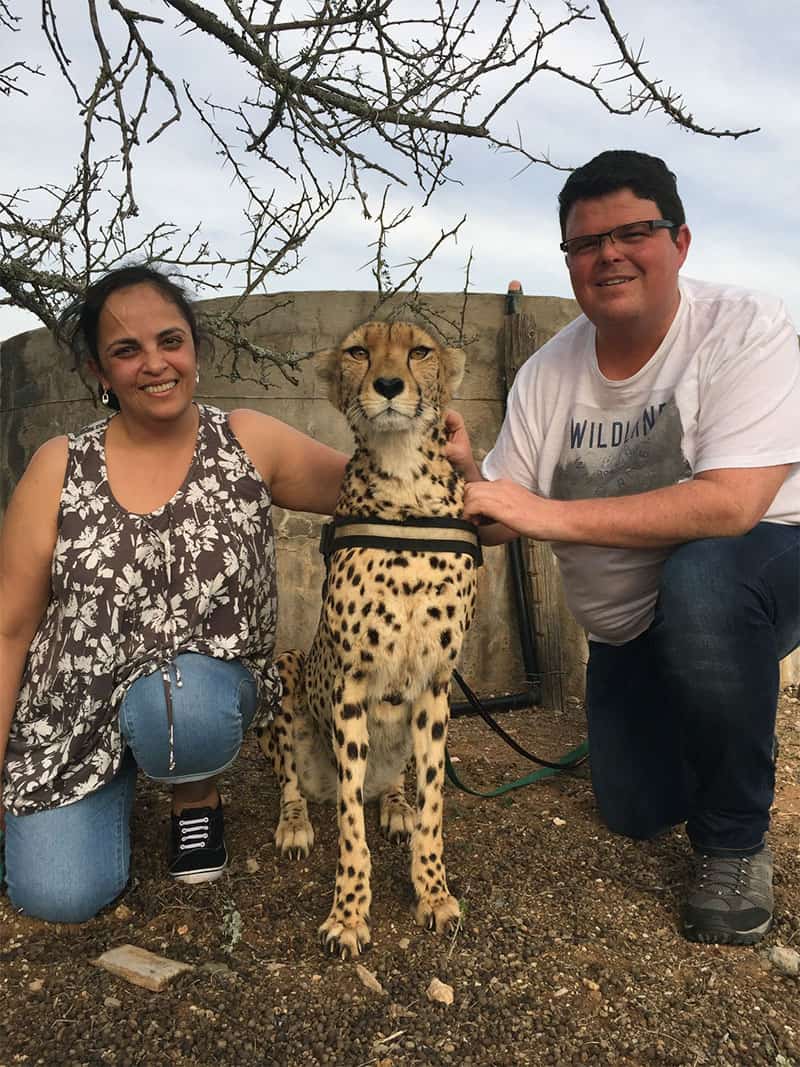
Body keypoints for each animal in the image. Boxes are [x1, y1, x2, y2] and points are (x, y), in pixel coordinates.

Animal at [257, 320, 479, 960]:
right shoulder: (350, 685)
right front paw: (349, 913)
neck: (403, 483)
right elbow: (350, 823)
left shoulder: (434, 685)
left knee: (394, 785)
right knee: (296, 785)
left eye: (419, 351)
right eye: (359, 351)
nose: (387, 385)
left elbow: (434, 805)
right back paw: (296, 821)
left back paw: (397, 805)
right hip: (286, 669)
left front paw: (433, 892)